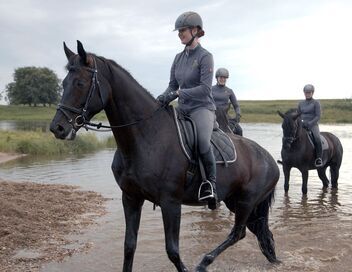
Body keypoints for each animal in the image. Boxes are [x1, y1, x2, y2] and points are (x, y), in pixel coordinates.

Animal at [50, 41, 280, 272]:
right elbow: (129, 246)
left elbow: (172, 251)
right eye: (64, 83)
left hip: (246, 202)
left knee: (237, 233)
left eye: (80, 83)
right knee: (258, 232)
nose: (57, 128)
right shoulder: (131, 198)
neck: (147, 137)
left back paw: (204, 263)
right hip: (236, 201)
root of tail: (269, 159)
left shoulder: (170, 203)